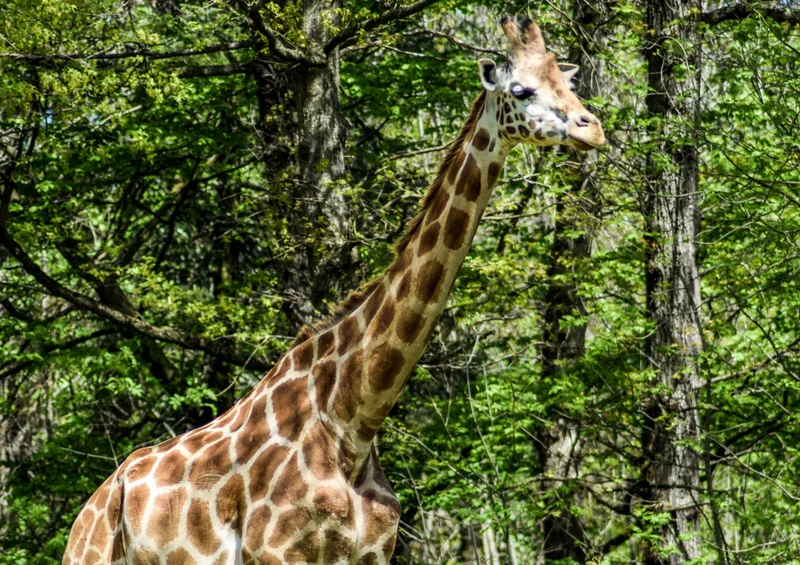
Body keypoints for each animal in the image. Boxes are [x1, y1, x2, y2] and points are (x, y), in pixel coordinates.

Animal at [63, 15, 605, 565]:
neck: (353, 420)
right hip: (86, 553)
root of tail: (96, 501)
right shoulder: (275, 551)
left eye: (568, 84)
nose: (593, 128)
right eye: (521, 90)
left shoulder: (374, 552)